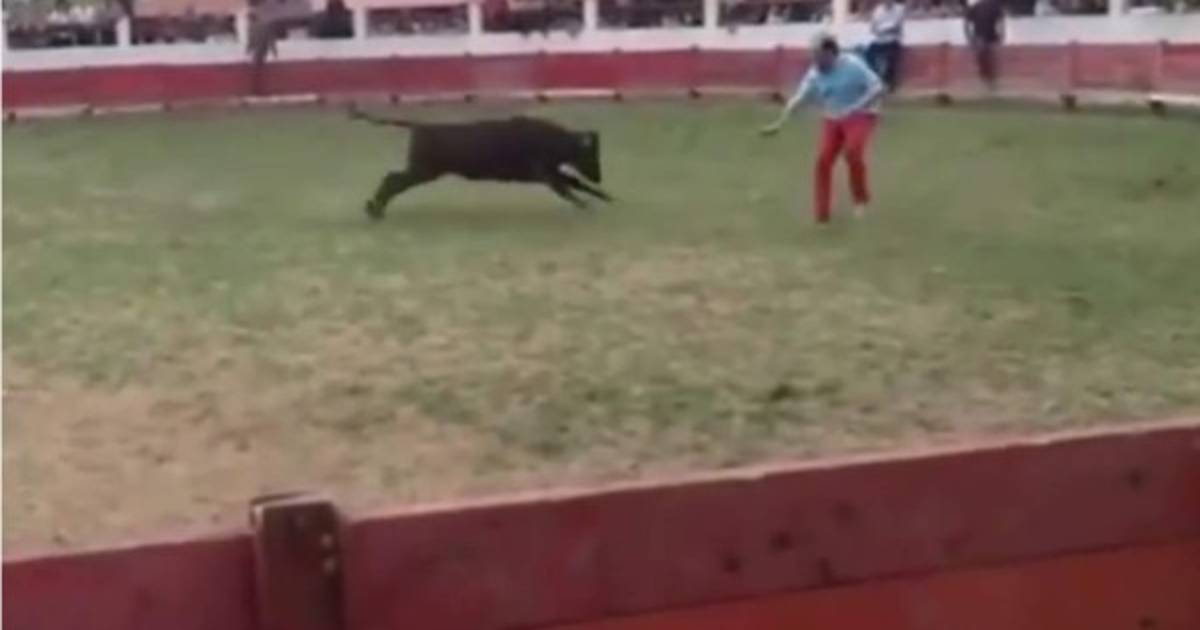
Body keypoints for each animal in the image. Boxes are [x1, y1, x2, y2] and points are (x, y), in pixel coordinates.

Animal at [347, 105, 612, 220]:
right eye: (590, 154)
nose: (600, 176)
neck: (550, 139)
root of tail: (419, 125)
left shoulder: (547, 172)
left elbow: (573, 182)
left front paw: (606, 198)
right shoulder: (543, 173)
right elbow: (567, 187)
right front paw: (586, 204)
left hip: (423, 171)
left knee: (393, 179)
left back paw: (375, 209)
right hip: (423, 170)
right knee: (393, 180)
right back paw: (374, 210)